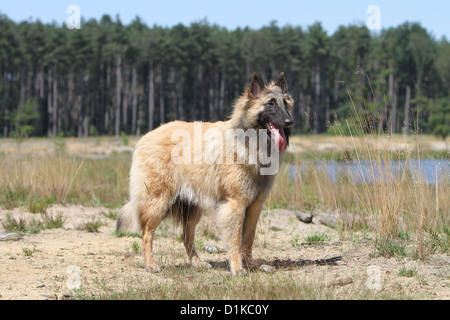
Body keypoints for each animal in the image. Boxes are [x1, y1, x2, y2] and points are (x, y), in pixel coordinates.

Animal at [116, 72, 294, 276]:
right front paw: (238, 268)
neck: (251, 142)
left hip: (192, 208)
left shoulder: (254, 206)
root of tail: (146, 136)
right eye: (270, 104)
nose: (290, 122)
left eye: (285, 103)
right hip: (158, 202)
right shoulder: (235, 205)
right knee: (147, 234)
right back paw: (151, 265)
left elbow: (248, 239)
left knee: (186, 236)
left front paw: (252, 265)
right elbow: (235, 240)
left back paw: (197, 263)